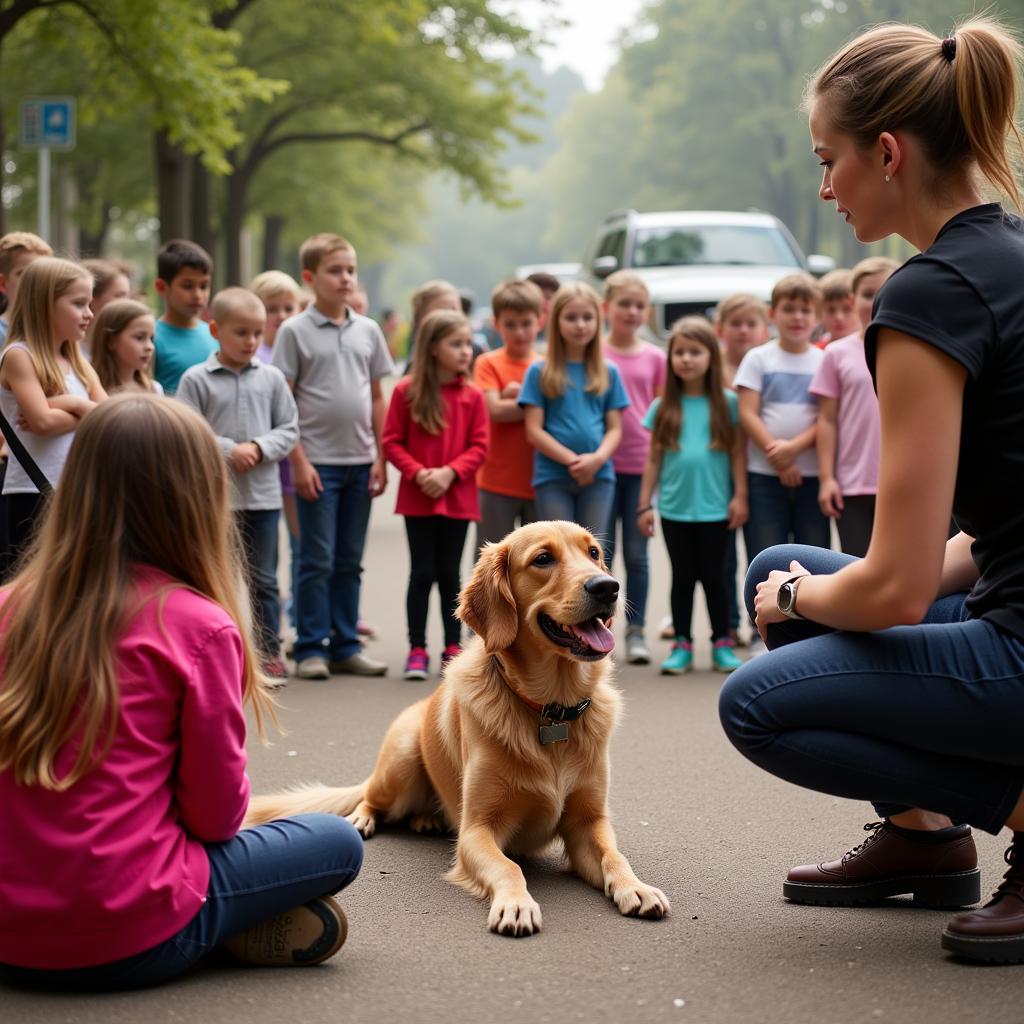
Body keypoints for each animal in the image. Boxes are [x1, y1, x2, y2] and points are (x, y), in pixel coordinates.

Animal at [243, 524, 667, 933]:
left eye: (594, 553)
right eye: (543, 559)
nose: (607, 586)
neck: (550, 712)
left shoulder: (588, 823)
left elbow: (615, 856)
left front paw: (637, 888)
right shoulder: (476, 831)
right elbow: (510, 867)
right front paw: (516, 903)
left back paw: (428, 818)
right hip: (400, 760)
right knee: (369, 797)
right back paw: (365, 817)